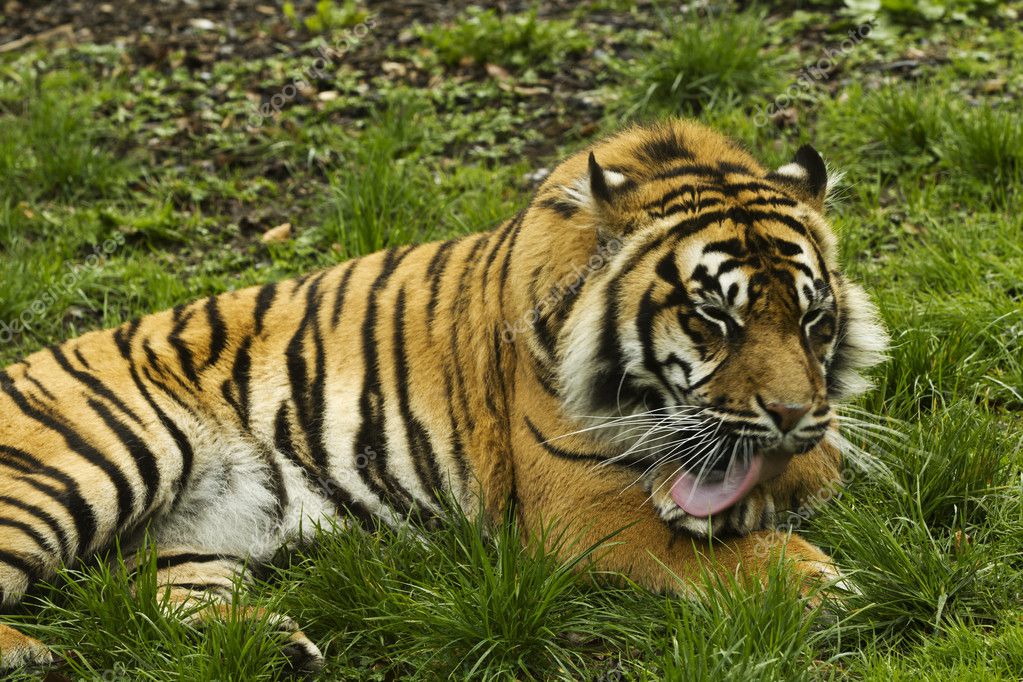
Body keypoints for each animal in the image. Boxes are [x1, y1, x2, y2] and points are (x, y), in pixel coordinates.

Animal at [0, 120, 887, 670]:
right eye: (713, 319)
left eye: (812, 319)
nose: (787, 415)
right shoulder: (579, 509)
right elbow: (695, 546)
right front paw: (810, 579)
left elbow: (810, 465)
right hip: (96, 461)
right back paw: (31, 655)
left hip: (189, 537)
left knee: (152, 598)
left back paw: (270, 647)